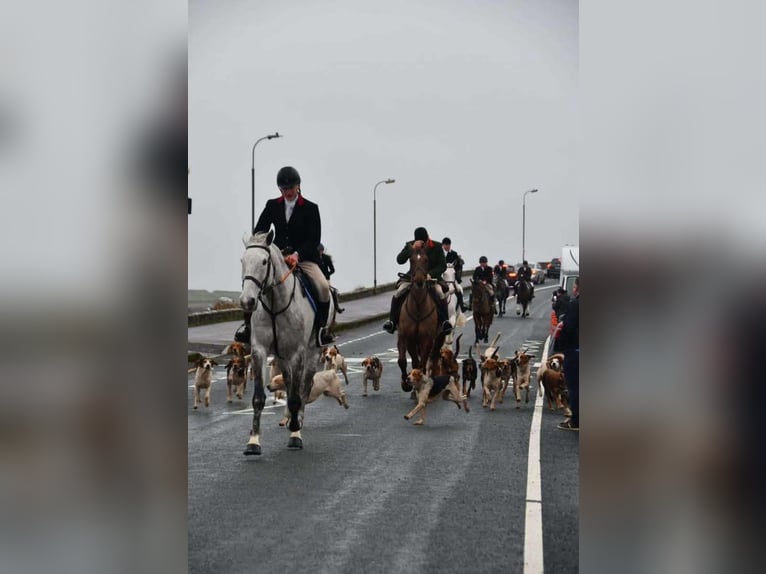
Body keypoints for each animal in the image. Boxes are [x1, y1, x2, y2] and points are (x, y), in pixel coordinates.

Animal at [240, 232, 336, 456]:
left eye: (264, 261)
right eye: (243, 261)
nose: (247, 301)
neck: (275, 303)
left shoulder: (298, 353)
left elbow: (295, 397)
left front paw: (295, 434)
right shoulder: (259, 351)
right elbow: (258, 397)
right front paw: (253, 441)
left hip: (312, 351)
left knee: (304, 386)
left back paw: (297, 420)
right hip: (281, 355)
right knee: (290, 381)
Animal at [400, 245, 448, 394]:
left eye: (426, 259)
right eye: (411, 259)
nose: (420, 280)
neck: (418, 306)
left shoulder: (427, 339)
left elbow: (423, 363)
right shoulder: (409, 338)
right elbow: (411, 362)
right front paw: (408, 384)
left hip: (439, 337)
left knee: (434, 357)